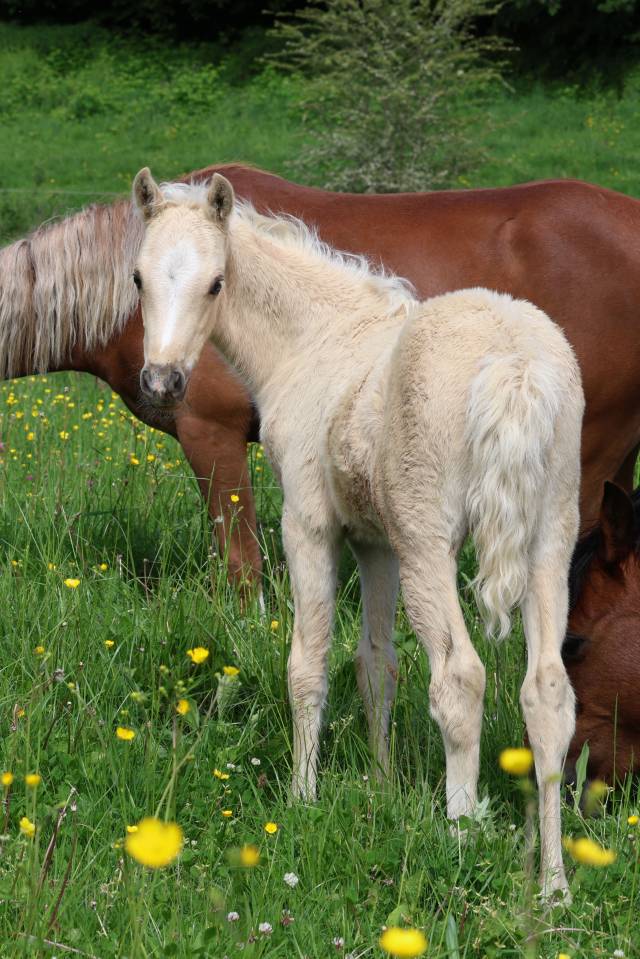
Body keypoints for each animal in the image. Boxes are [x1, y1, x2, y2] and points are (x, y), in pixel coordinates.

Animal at [132, 168, 585, 897]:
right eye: (140, 278)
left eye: (216, 283)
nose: (163, 380)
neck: (318, 338)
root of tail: (515, 366)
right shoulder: (377, 543)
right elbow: (377, 663)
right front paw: (381, 784)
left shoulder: (309, 523)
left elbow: (307, 662)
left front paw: (301, 796)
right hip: (549, 537)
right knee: (546, 693)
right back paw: (553, 882)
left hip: (431, 543)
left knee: (461, 676)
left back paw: (460, 841)